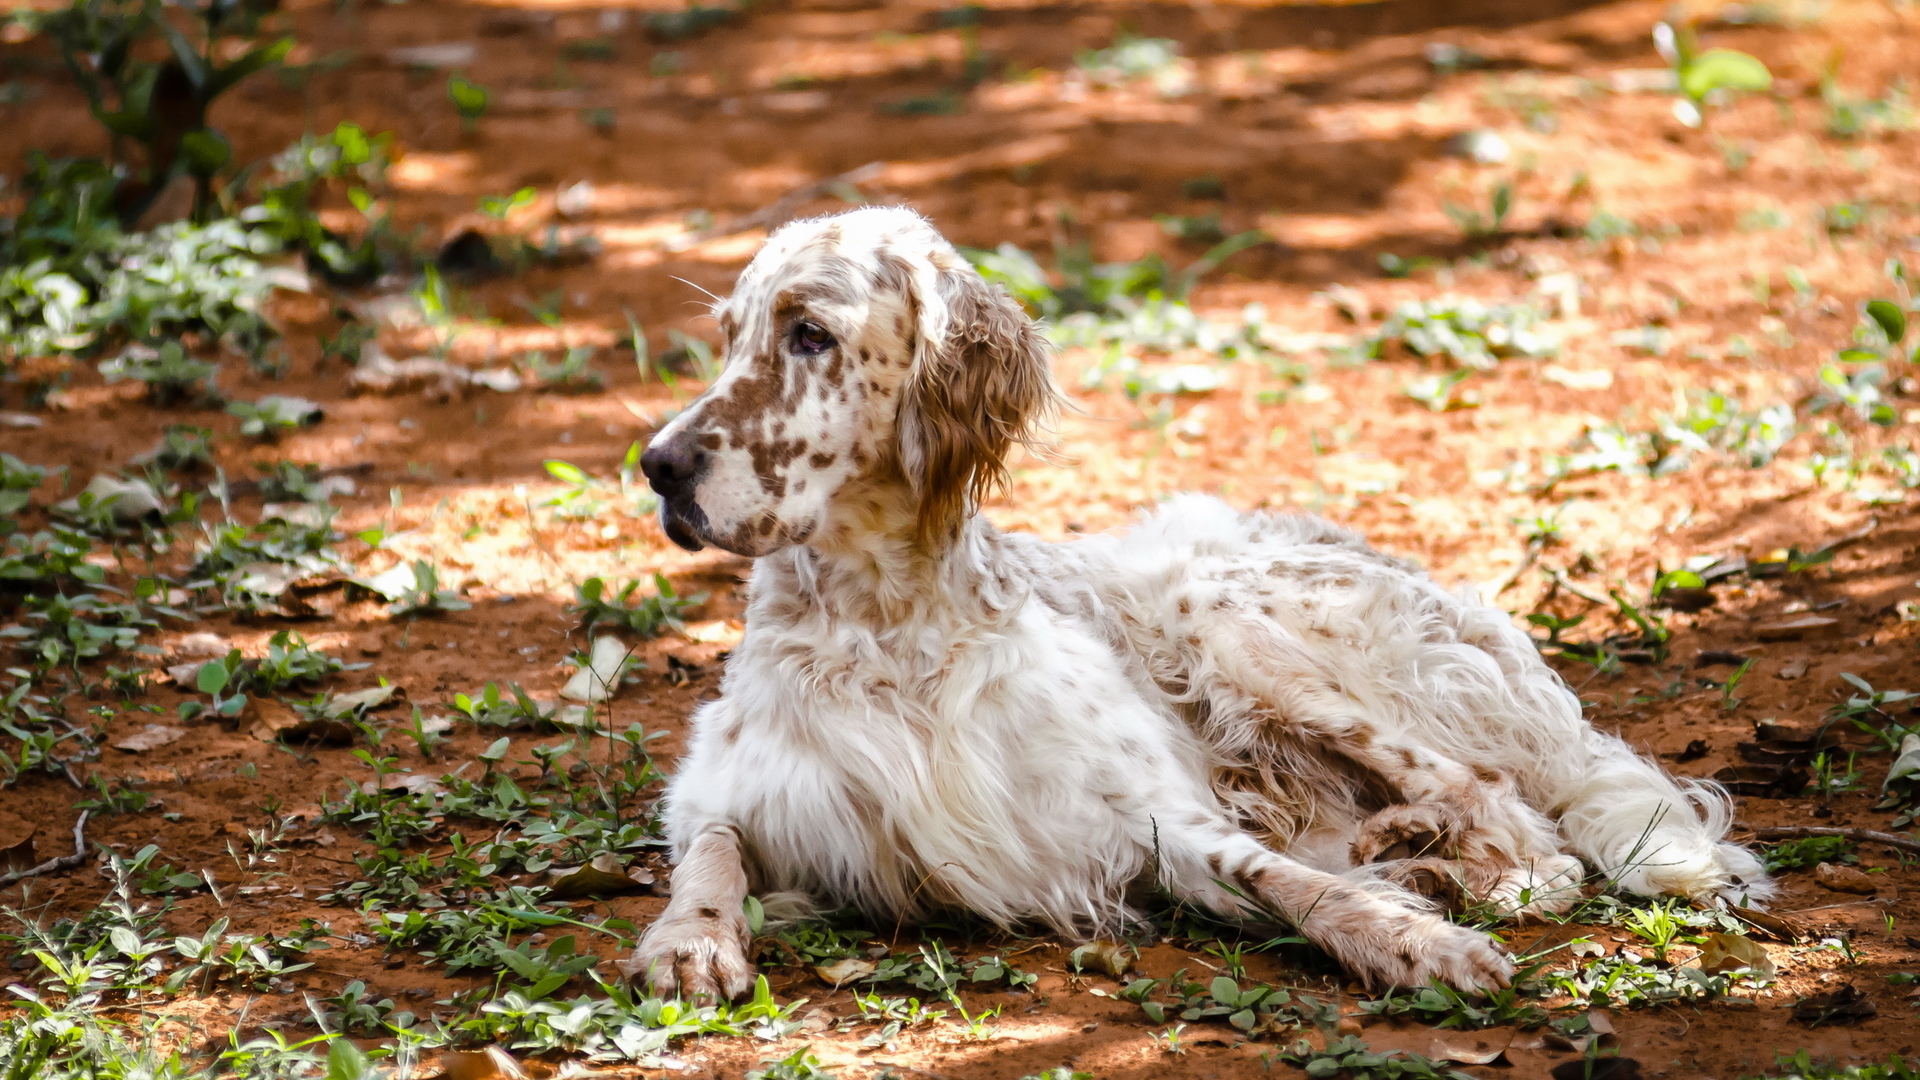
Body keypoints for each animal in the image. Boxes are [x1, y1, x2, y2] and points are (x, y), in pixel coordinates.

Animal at [618, 205, 1766, 999]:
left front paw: (1412, 939)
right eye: (729, 336)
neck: (890, 625)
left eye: (808, 333)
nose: (658, 466)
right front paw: (691, 940)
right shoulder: (728, 782)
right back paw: (1417, 855)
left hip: (1215, 607)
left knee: (1517, 820)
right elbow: (711, 855)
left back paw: (1432, 862)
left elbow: (1295, 884)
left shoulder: (1148, 814)